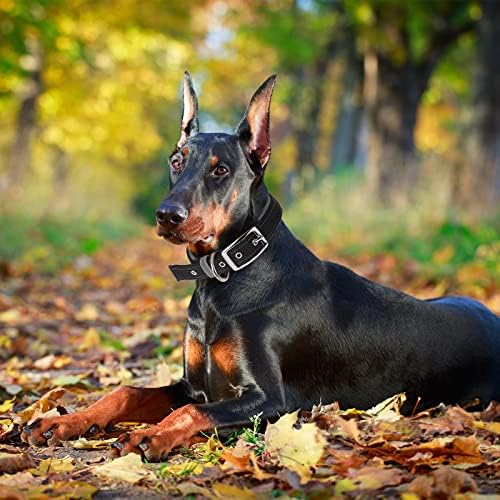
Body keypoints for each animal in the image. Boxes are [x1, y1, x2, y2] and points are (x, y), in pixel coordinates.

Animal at [22, 71, 500, 460]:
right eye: (176, 162)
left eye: (220, 170)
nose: (167, 215)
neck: (226, 276)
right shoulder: (193, 383)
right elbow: (123, 392)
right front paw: (61, 421)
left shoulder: (271, 400)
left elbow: (194, 411)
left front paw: (153, 435)